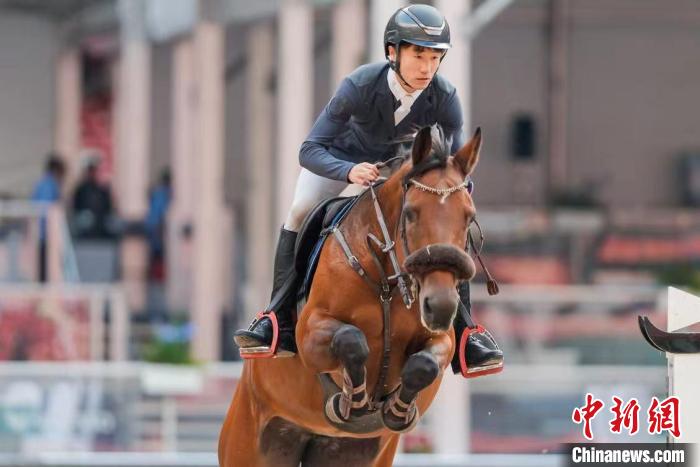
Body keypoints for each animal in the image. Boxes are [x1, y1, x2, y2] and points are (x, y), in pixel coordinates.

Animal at [221, 126, 484, 466]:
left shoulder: (441, 339)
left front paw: (397, 411)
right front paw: (354, 400)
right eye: (410, 213)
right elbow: (351, 340)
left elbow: (424, 364)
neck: (387, 283)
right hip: (249, 441)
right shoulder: (311, 333)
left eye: (469, 217)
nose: (440, 306)